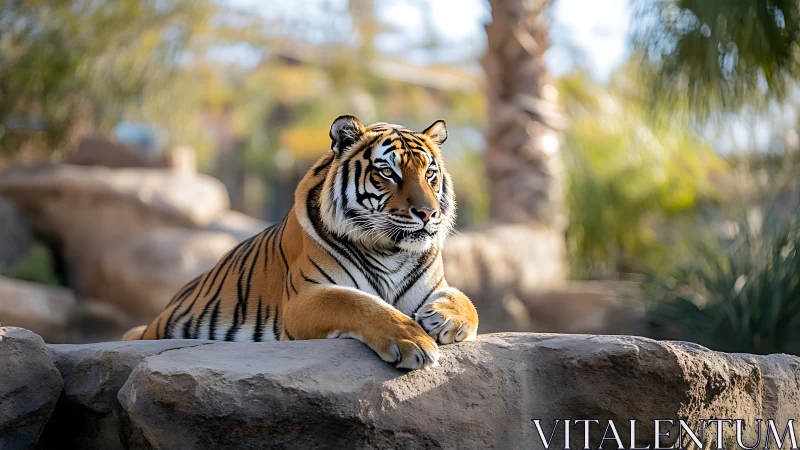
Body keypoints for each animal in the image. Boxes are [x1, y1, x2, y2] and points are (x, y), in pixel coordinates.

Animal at [122, 115, 479, 370]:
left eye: (430, 173)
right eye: (388, 172)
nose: (428, 213)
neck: (390, 250)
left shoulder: (435, 286)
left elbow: (466, 302)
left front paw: (444, 318)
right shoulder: (304, 297)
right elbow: (360, 303)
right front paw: (413, 341)